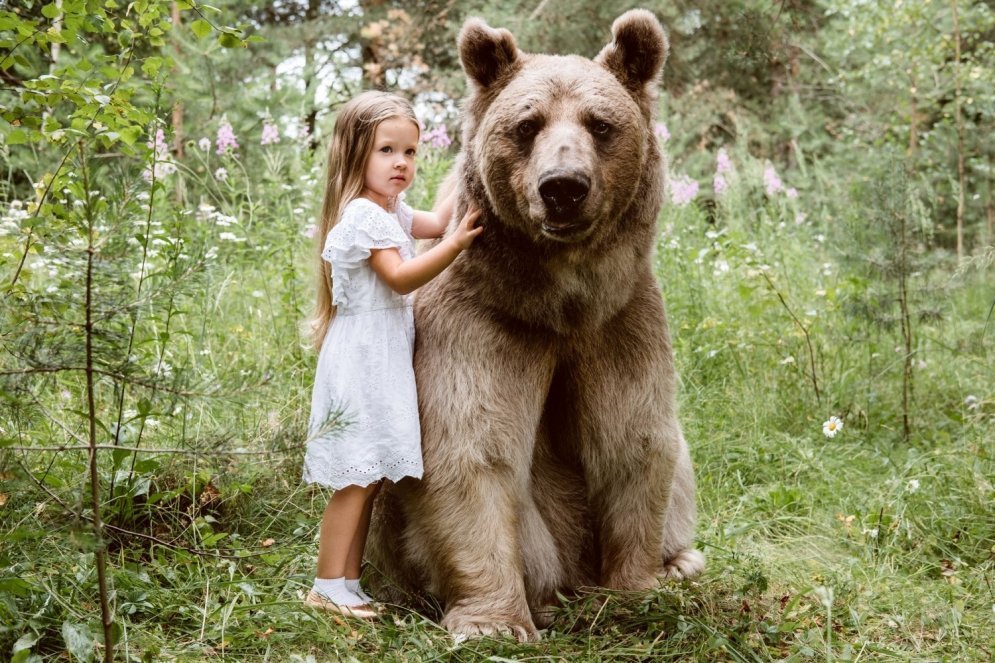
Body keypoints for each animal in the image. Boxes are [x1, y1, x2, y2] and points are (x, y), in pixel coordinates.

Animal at [370, 9, 704, 644]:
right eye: (527, 125)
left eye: (601, 124)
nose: (564, 186)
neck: (561, 301)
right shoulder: (483, 323)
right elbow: (471, 449)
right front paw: (494, 622)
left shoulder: (621, 323)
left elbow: (634, 439)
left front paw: (638, 589)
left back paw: (680, 561)